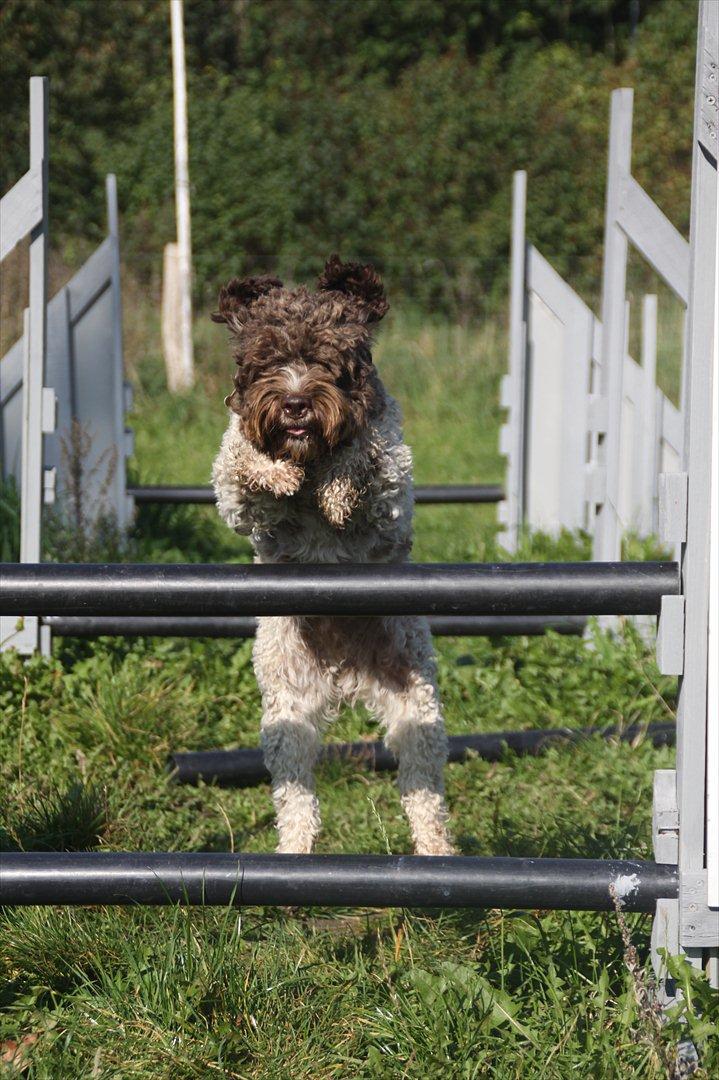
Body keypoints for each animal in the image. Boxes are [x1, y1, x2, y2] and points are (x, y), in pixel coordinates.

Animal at [210, 257, 451, 855]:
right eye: (269, 359)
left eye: (326, 359)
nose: (295, 404)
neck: (310, 454)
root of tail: (345, 676)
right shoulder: (233, 493)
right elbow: (242, 463)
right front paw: (276, 471)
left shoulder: (393, 481)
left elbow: (365, 456)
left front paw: (338, 488)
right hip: (287, 715)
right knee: (295, 794)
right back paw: (293, 852)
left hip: (417, 706)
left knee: (423, 790)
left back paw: (437, 852)